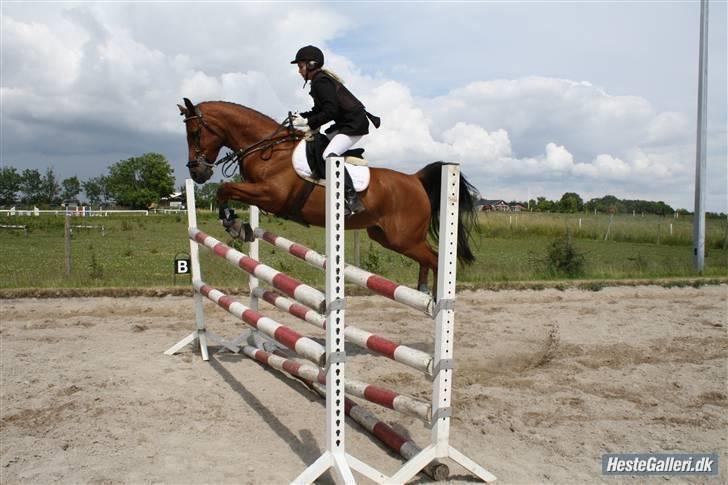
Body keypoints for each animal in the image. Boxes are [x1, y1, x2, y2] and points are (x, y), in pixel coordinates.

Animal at [178, 97, 478, 294]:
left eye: (195, 133)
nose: (197, 173)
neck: (269, 148)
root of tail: (414, 179)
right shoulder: (259, 192)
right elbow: (227, 193)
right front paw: (240, 226)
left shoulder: (272, 195)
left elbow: (224, 190)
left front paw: (234, 225)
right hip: (386, 236)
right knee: (427, 257)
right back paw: (423, 289)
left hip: (403, 237)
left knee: (436, 258)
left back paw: (436, 300)